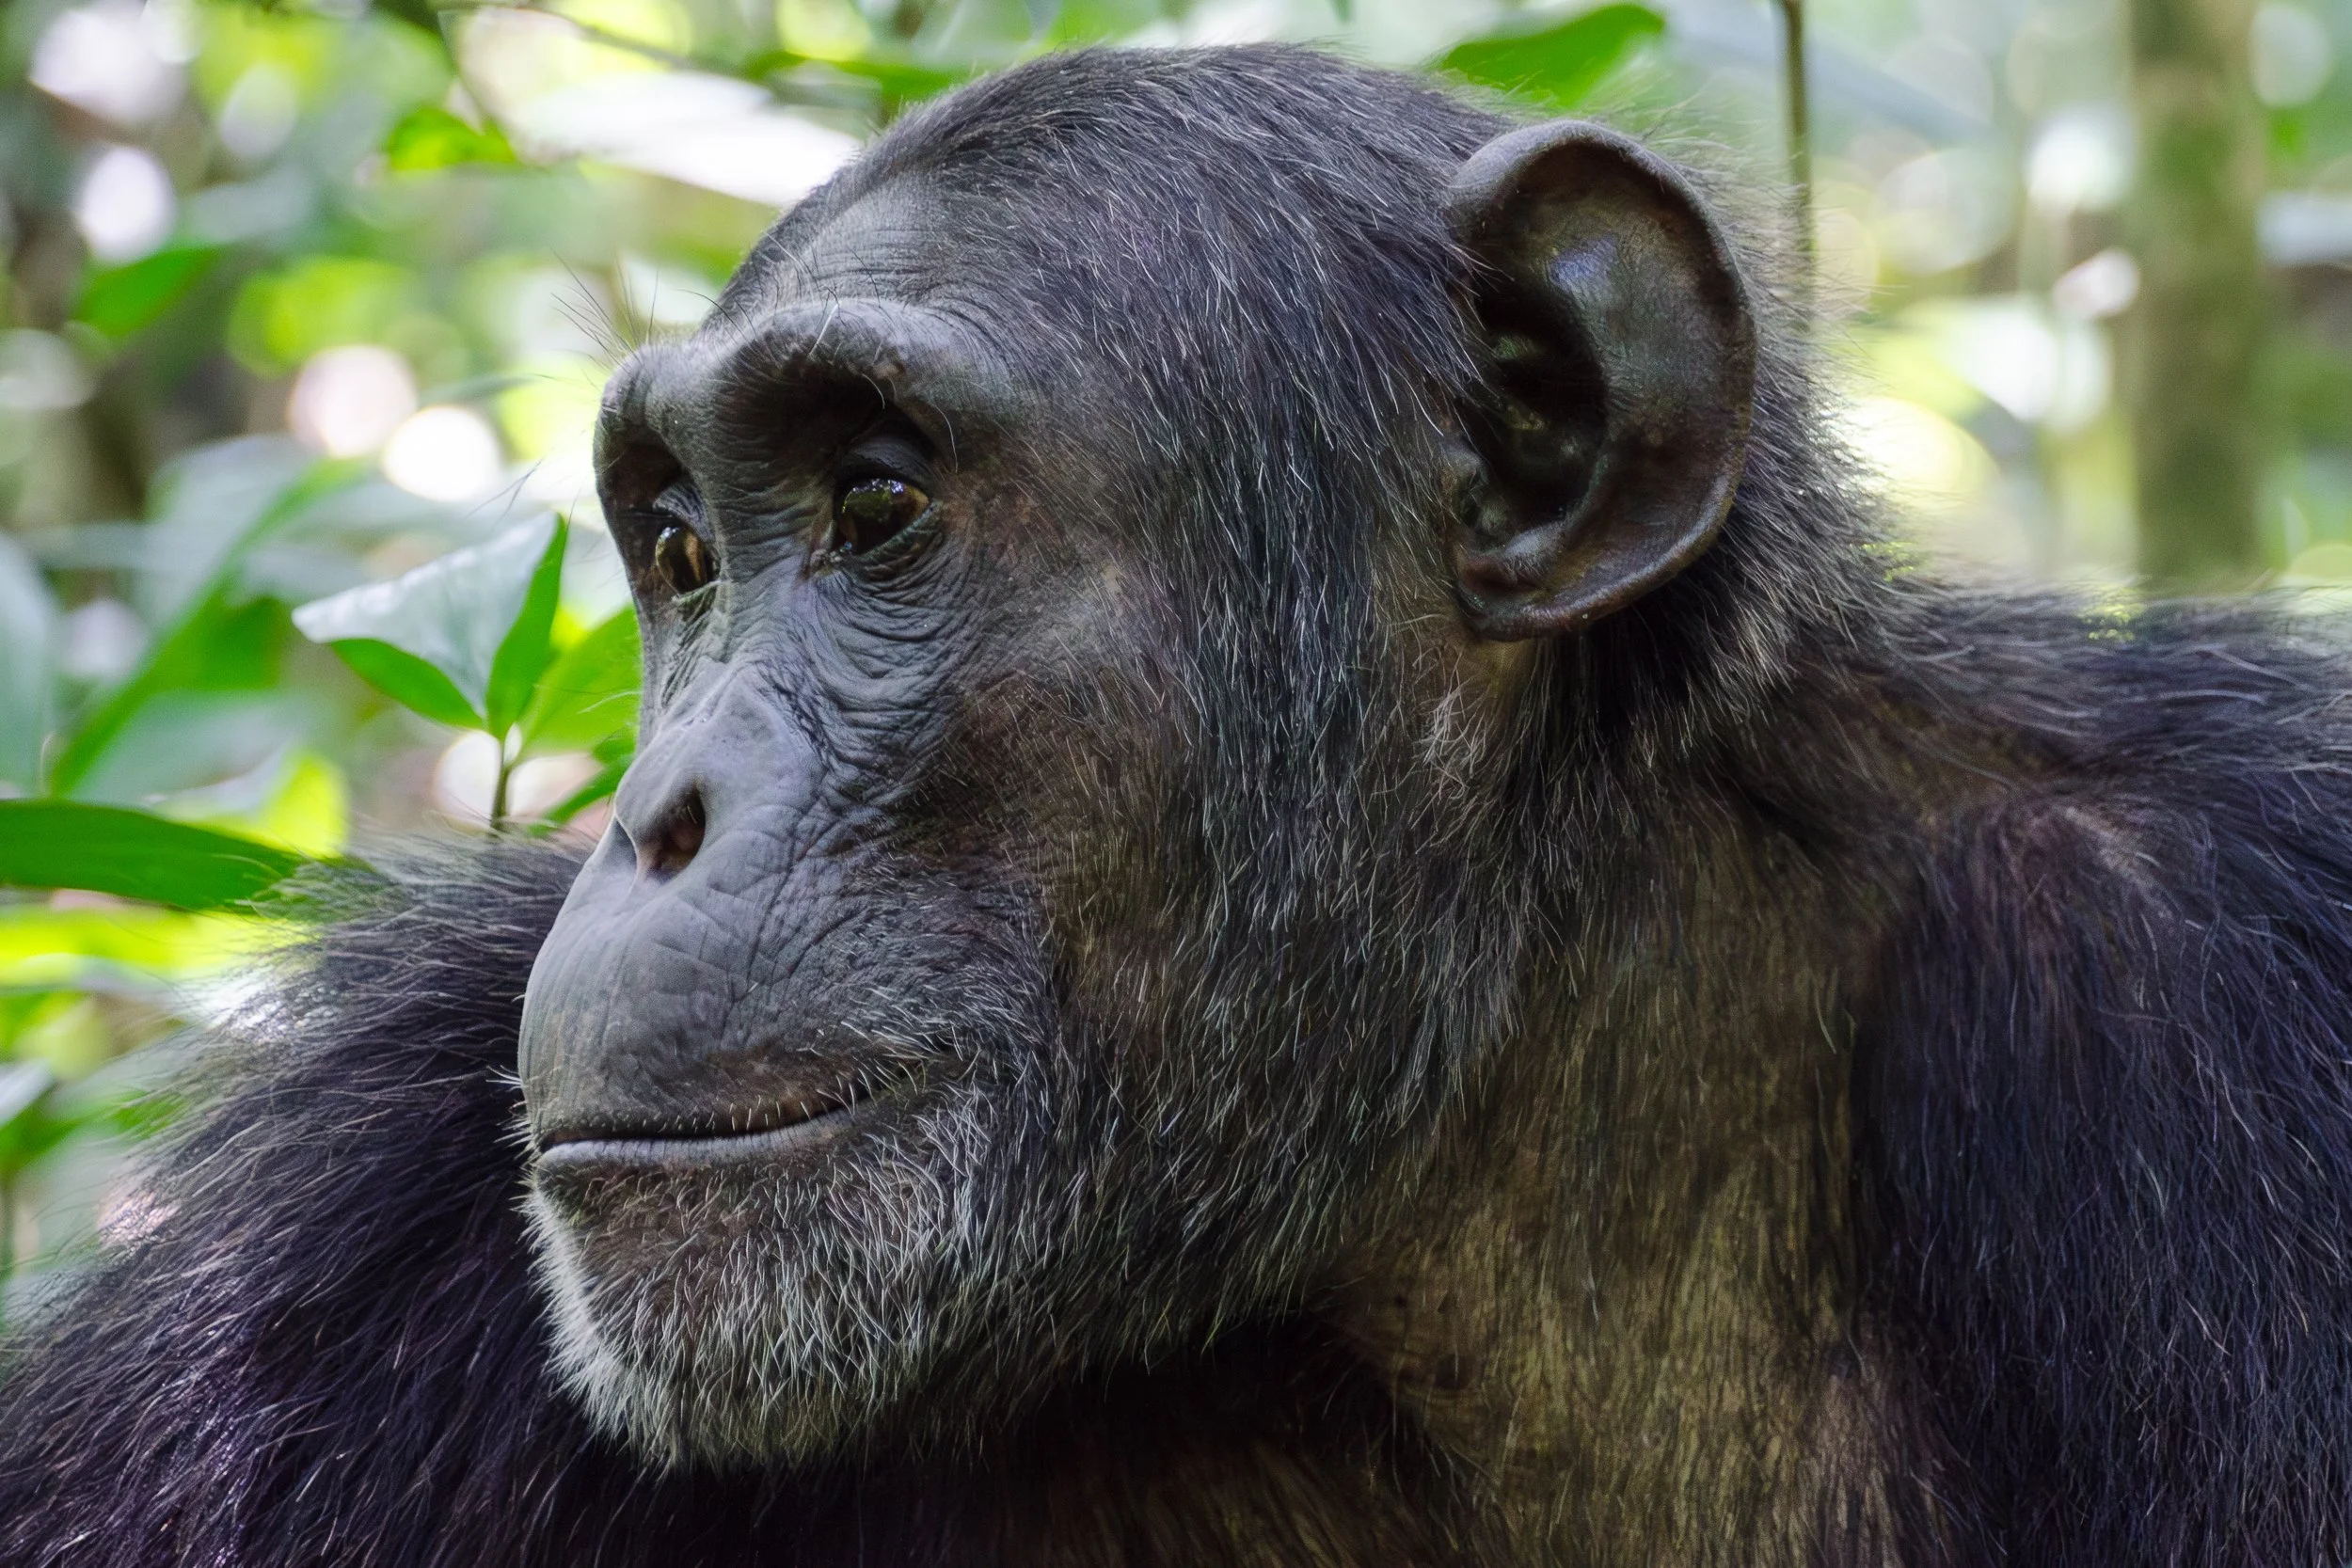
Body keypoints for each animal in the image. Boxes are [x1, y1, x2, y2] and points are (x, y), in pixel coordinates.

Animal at [4, 43, 2351, 1568]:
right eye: (678, 548)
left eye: (876, 504)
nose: (659, 810)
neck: (1468, 1187)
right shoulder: (342, 1255)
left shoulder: (2235, 955)